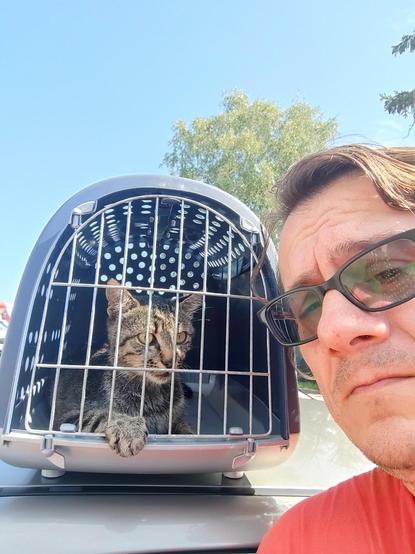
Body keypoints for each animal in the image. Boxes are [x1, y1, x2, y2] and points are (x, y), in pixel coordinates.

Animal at [54, 278, 202, 454]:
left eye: (181, 336)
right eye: (146, 337)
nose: (170, 361)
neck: (151, 395)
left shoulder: (178, 419)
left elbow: (186, 432)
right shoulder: (66, 416)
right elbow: (100, 414)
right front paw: (127, 427)